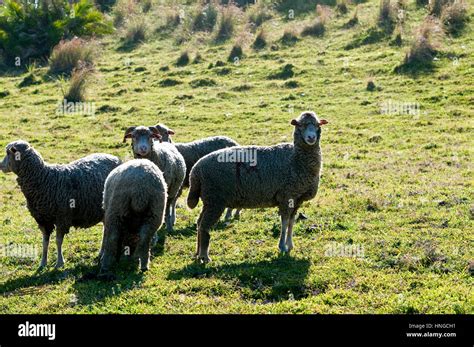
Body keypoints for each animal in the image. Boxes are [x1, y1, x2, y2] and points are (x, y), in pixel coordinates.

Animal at [0, 141, 122, 270]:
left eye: (8, 153)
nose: (1, 166)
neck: (44, 179)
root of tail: (115, 157)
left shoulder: (62, 218)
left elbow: (58, 241)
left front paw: (59, 263)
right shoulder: (43, 220)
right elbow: (45, 241)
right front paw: (43, 263)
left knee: (107, 229)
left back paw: (103, 253)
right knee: (105, 228)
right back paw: (101, 252)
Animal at [187, 112, 328, 264]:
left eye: (317, 125)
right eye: (300, 125)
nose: (311, 137)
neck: (296, 159)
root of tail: (195, 171)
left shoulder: (297, 199)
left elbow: (291, 222)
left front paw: (290, 245)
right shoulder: (286, 196)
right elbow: (284, 223)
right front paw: (282, 247)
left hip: (208, 200)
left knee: (199, 223)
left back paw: (197, 253)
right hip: (215, 199)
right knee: (204, 226)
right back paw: (204, 256)